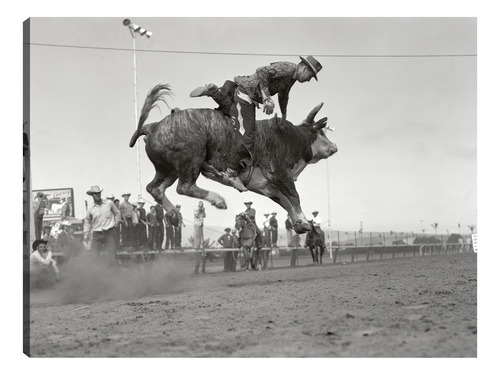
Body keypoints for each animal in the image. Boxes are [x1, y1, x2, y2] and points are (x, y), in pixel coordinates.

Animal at [131, 83, 338, 234]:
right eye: (321, 132)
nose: (334, 148)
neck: (288, 137)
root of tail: (153, 126)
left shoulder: (268, 187)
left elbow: (285, 201)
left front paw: (300, 224)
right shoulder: (279, 173)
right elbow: (294, 197)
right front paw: (303, 221)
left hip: (168, 169)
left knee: (155, 188)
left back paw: (174, 213)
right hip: (191, 158)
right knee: (184, 187)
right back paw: (217, 200)